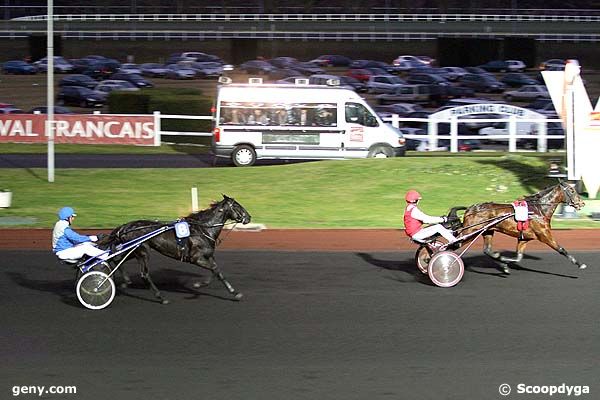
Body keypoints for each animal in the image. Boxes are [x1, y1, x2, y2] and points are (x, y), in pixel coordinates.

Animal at [103, 195, 251, 304]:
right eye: (237, 205)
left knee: (117, 259)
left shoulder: (208, 256)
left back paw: (125, 282)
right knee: (144, 274)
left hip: (134, 251)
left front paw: (234, 293)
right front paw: (199, 285)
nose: (248, 217)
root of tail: (124, 227)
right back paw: (160, 297)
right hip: (142, 251)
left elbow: (217, 272)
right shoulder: (196, 258)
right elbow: (214, 269)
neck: (203, 229)